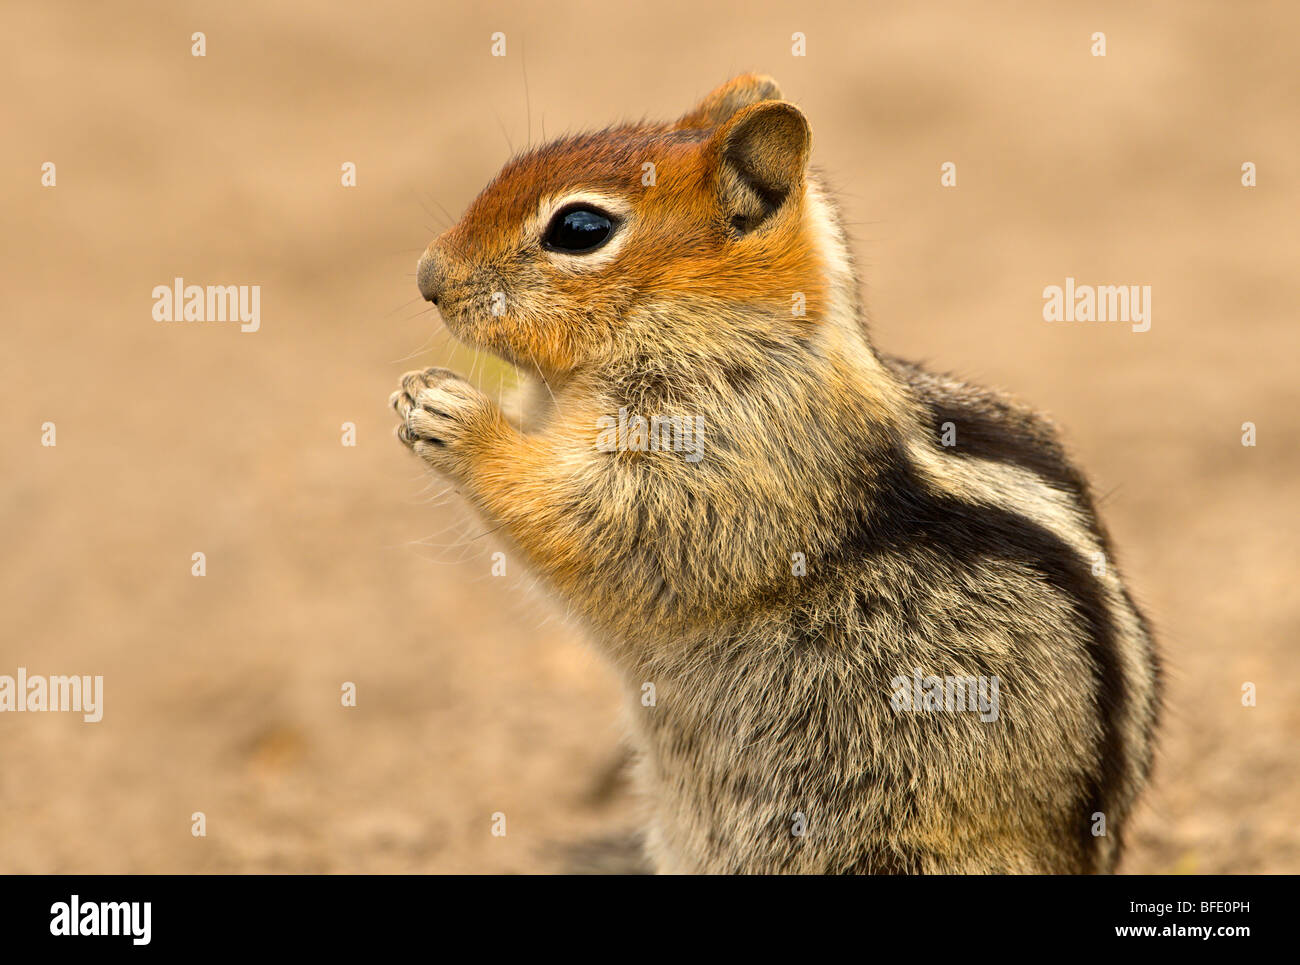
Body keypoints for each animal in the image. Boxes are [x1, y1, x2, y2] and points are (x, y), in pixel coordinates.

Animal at [390, 75, 1164, 879]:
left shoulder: (713, 461)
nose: (427, 279)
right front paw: (419, 391)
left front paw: (454, 415)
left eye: (578, 228)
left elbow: (598, 521)